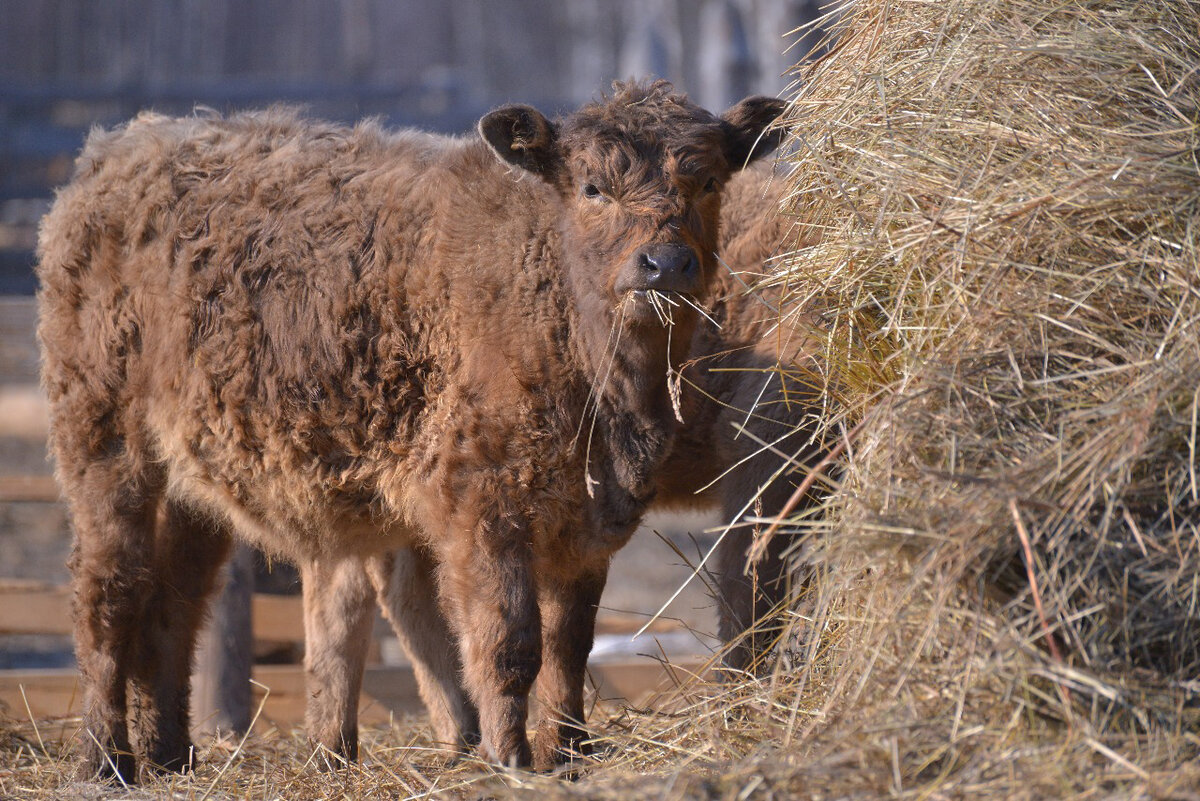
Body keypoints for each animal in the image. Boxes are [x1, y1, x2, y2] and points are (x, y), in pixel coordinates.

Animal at [37, 77, 782, 777]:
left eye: (707, 180)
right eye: (594, 186)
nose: (665, 263)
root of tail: (123, 146)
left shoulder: (589, 523)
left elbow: (569, 647)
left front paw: (569, 753)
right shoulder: (486, 505)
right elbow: (508, 644)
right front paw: (510, 759)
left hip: (192, 483)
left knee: (174, 603)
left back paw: (170, 755)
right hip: (104, 444)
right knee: (108, 593)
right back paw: (105, 759)